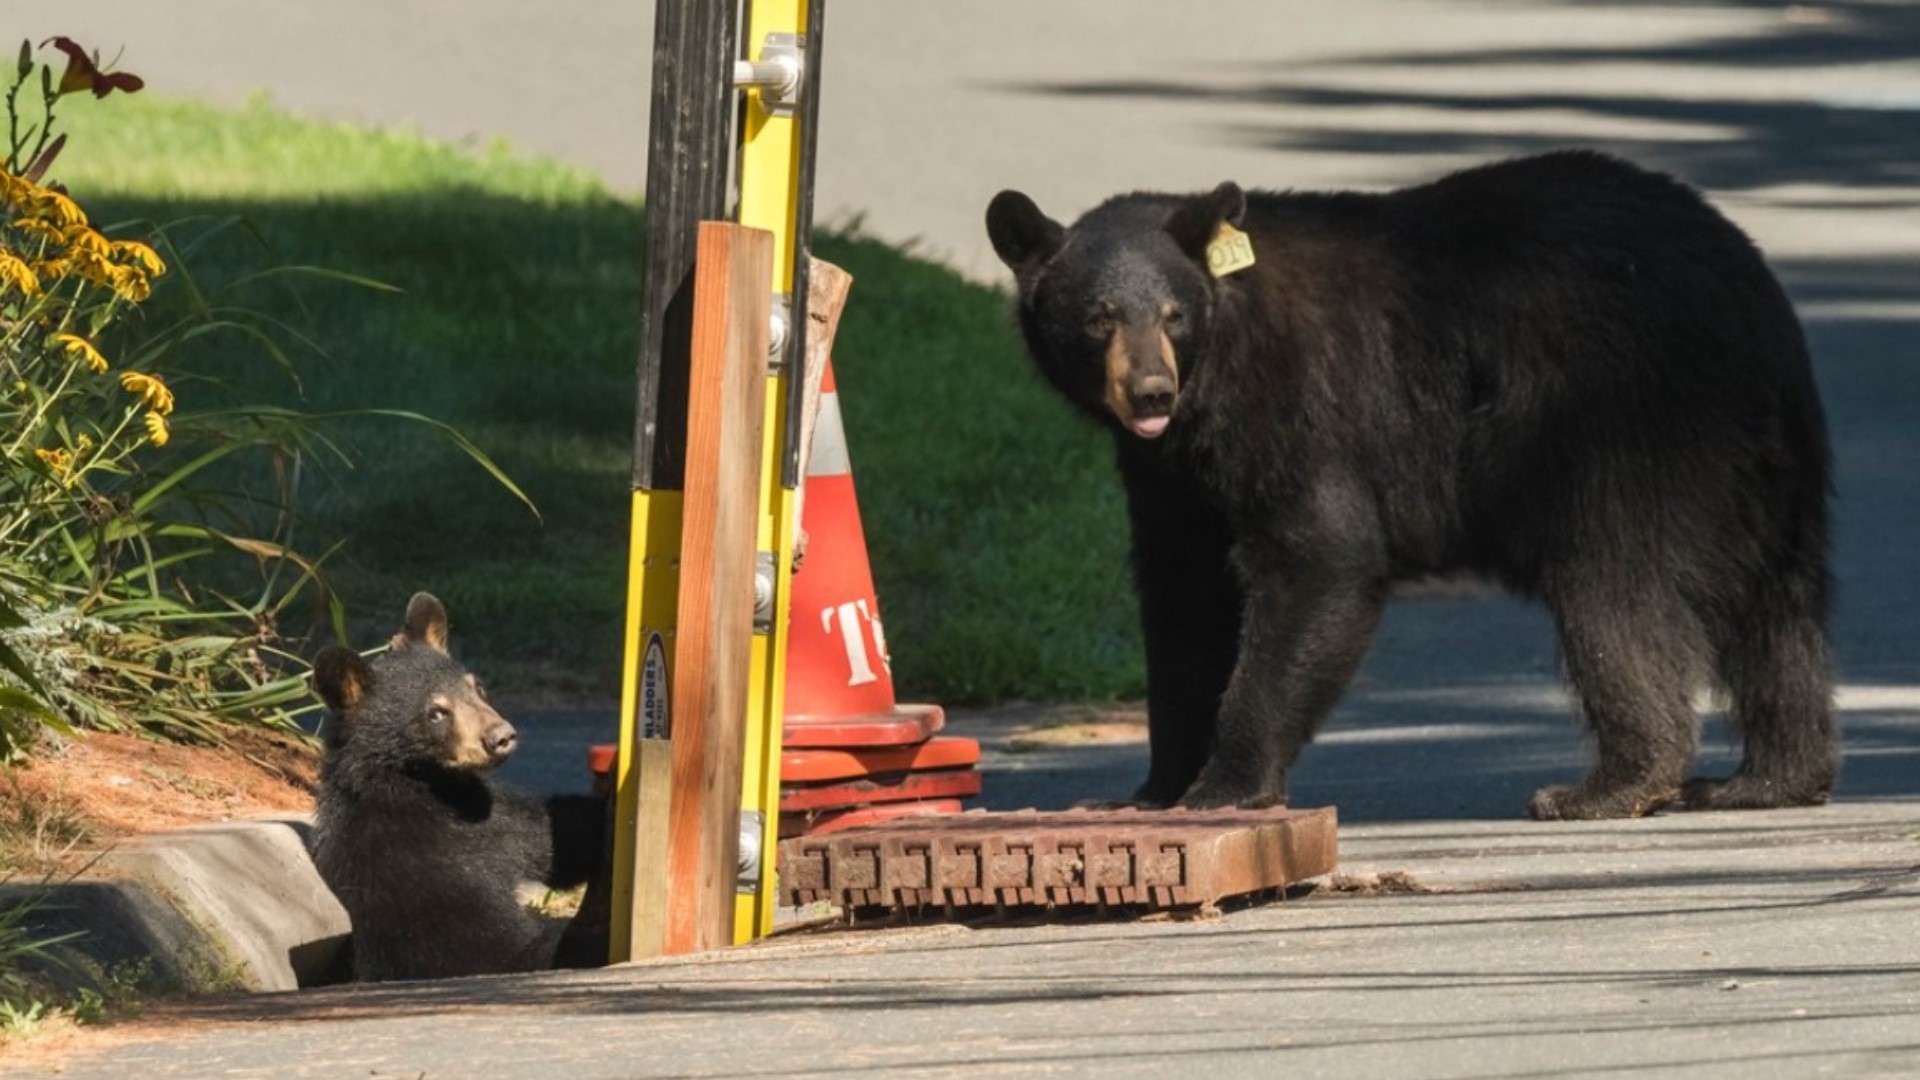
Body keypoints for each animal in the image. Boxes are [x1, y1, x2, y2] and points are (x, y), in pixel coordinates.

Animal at [985, 149, 1837, 820]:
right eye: (1099, 318)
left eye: (1172, 314)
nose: (1151, 393)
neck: (1216, 381)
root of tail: (1751, 295)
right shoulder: (1171, 476)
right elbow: (1182, 597)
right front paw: (1147, 789)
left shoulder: (1299, 408)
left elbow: (1317, 560)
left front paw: (1223, 787)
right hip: (1764, 470)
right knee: (1777, 611)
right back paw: (1765, 779)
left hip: (1621, 427)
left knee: (1613, 594)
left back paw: (1607, 786)